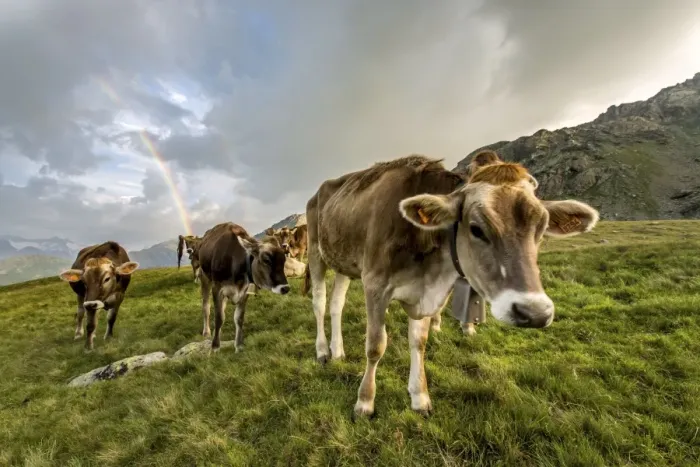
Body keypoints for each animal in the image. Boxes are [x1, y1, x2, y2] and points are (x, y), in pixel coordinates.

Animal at [196, 222, 290, 351]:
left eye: (284, 260)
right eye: (266, 260)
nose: (285, 288)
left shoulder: (245, 291)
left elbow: (239, 318)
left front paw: (239, 346)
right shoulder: (217, 288)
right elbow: (219, 317)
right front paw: (215, 346)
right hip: (204, 277)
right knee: (206, 305)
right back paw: (207, 332)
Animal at [302, 151, 599, 417]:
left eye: (541, 228)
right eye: (476, 228)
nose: (534, 312)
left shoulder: (425, 292)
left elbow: (419, 342)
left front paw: (420, 396)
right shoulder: (375, 284)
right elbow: (375, 345)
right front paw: (365, 403)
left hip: (344, 262)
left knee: (337, 305)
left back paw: (338, 351)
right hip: (316, 252)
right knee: (319, 303)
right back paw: (322, 351)